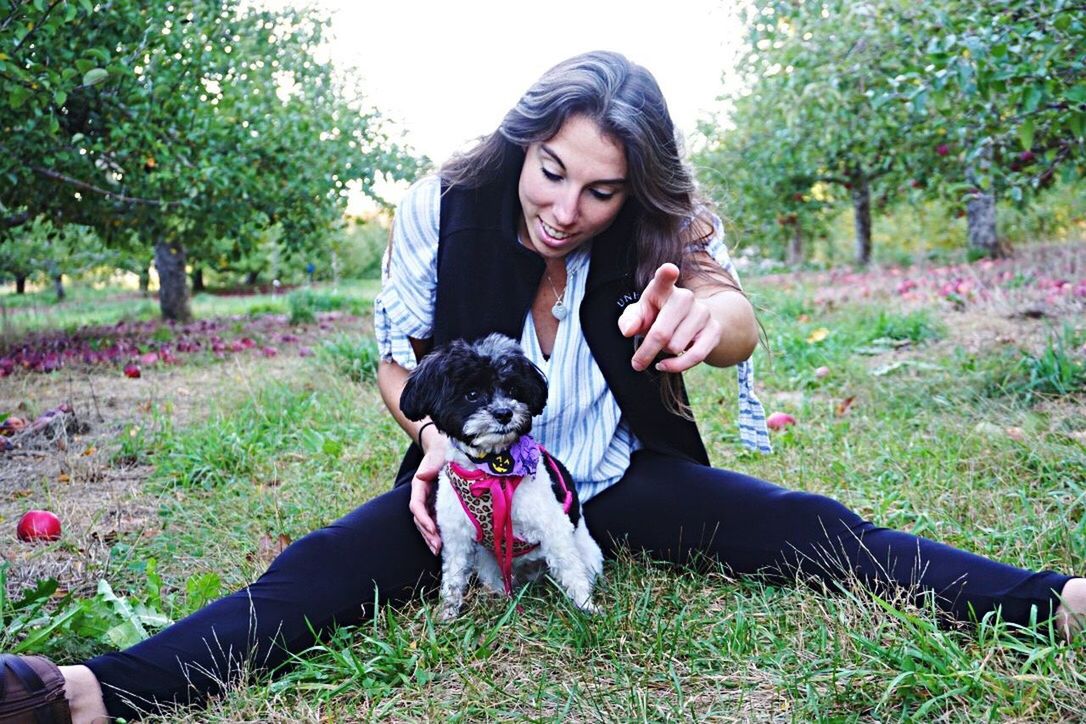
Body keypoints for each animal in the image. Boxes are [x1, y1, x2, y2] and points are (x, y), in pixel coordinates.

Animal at [399, 332, 603, 620]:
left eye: (514, 391)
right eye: (472, 394)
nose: (504, 412)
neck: (490, 470)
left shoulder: (553, 527)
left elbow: (571, 570)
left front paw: (585, 606)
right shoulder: (456, 537)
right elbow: (453, 578)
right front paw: (447, 615)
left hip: (587, 551)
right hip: (488, 559)